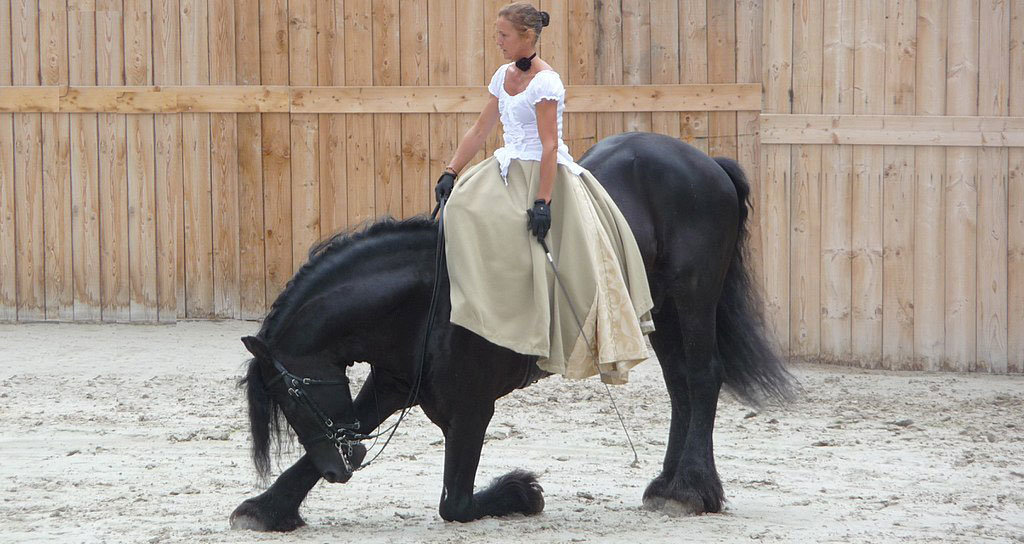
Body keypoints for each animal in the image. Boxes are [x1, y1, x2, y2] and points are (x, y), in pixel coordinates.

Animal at [229, 131, 792, 531]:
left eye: (294, 396)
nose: (340, 469)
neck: (428, 297)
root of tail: (705, 163)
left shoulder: (472, 409)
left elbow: (455, 504)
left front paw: (521, 491)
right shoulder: (392, 383)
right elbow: (353, 428)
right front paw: (270, 505)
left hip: (692, 297)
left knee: (701, 377)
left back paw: (691, 490)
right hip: (661, 311)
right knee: (680, 387)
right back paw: (671, 485)